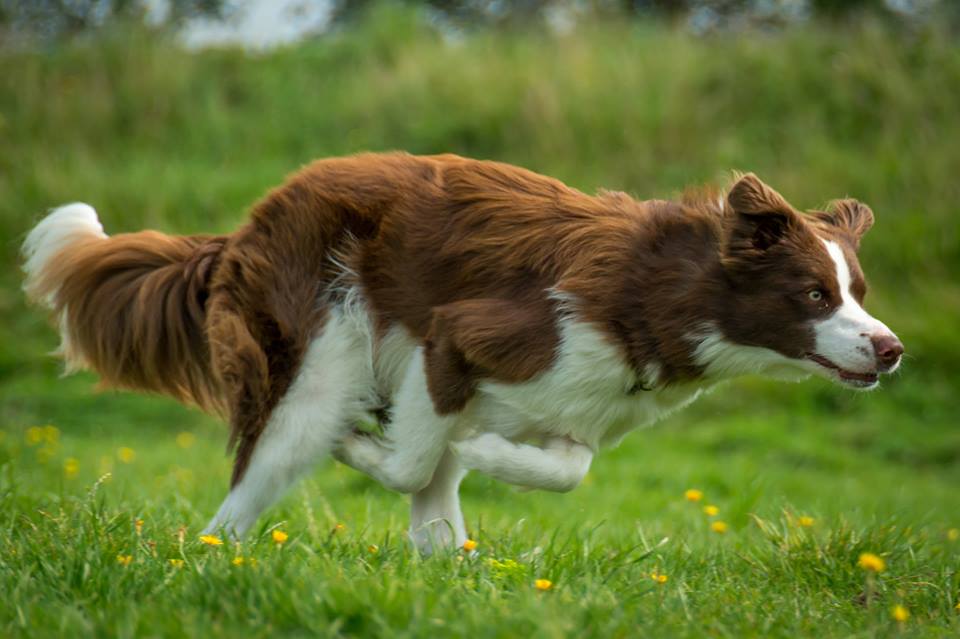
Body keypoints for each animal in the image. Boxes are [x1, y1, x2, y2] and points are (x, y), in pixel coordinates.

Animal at [24, 152, 908, 552]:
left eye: (859, 288)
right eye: (814, 295)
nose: (892, 348)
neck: (659, 294)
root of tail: (241, 229)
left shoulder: (574, 403)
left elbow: (566, 466)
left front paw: (493, 458)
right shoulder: (451, 337)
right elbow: (413, 459)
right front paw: (366, 447)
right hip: (319, 357)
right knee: (247, 492)